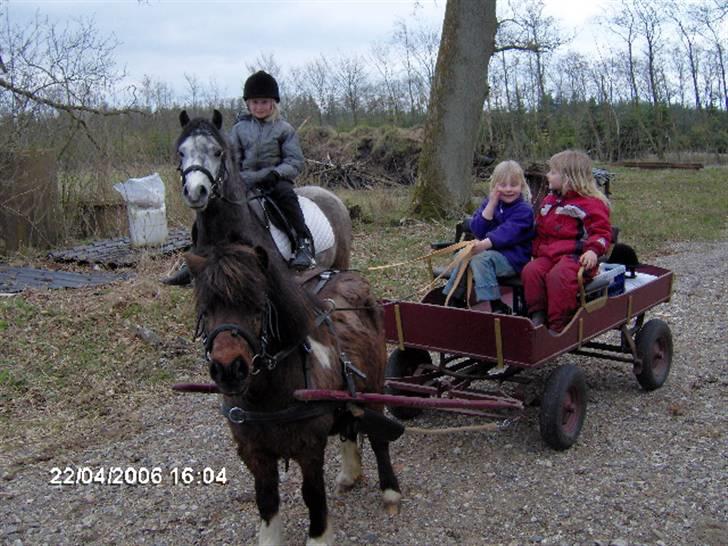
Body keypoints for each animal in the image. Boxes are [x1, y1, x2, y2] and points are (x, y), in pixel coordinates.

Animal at [182, 240, 398, 540]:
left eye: (258, 307)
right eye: (206, 310)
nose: (229, 370)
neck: (268, 399)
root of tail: (350, 276)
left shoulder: (309, 448)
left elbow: (312, 495)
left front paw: (319, 536)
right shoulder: (254, 451)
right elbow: (266, 499)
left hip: (376, 383)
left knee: (379, 440)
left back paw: (390, 491)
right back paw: (350, 473)